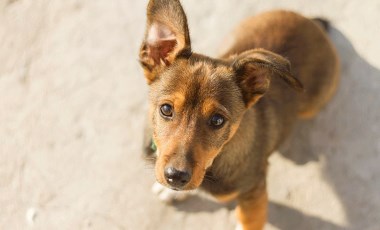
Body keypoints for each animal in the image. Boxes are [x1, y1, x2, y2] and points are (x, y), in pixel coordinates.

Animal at [138, 0, 340, 228]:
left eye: (217, 120)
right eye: (166, 109)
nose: (176, 176)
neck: (217, 158)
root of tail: (314, 25)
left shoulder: (253, 192)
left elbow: (248, 221)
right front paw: (171, 190)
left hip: (313, 104)